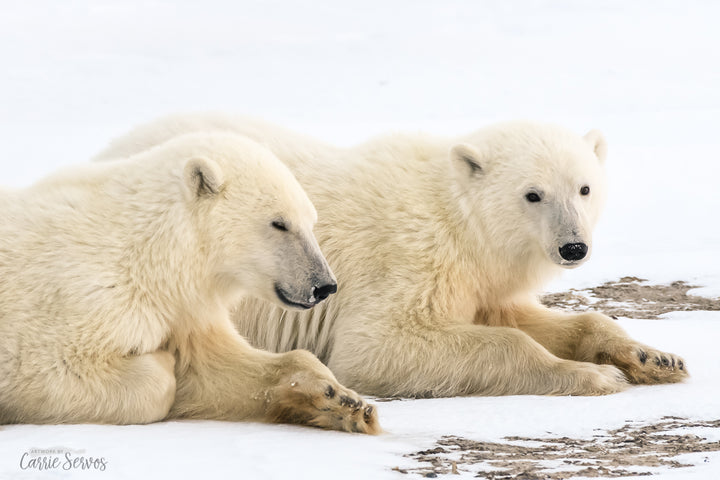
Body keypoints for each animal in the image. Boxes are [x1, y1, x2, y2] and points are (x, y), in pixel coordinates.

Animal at [0, 130, 380, 432]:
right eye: (279, 223)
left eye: (311, 221)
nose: (324, 285)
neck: (154, 252)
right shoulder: (84, 298)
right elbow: (51, 370)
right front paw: (159, 361)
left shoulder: (186, 307)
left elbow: (213, 369)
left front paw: (340, 401)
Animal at [94, 115, 688, 398]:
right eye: (533, 194)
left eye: (585, 188)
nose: (573, 247)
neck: (456, 218)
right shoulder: (413, 259)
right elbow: (381, 346)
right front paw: (594, 377)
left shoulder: (480, 279)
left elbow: (525, 316)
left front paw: (654, 358)